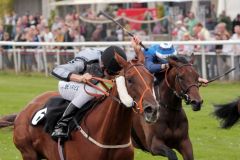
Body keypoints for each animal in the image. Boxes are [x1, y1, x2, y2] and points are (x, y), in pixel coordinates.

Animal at [5, 52, 159, 159]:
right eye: (130, 80)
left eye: (152, 78)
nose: (152, 109)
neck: (110, 137)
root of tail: (22, 112)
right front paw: (85, 77)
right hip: (28, 153)